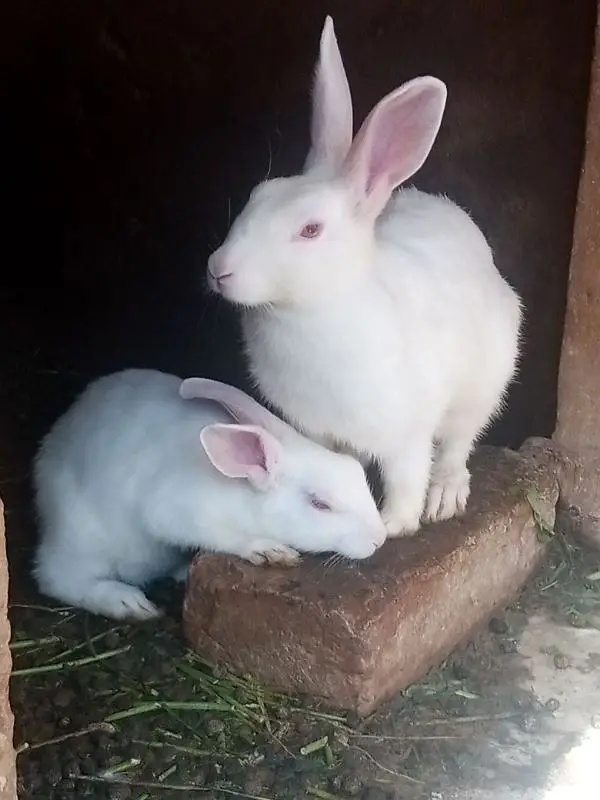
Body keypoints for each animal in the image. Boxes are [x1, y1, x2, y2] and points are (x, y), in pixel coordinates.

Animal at [32, 368, 386, 620]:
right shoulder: (175, 509)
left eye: (357, 472)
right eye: (320, 504)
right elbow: (222, 535)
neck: (239, 489)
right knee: (58, 578)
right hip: (82, 538)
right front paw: (270, 551)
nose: (380, 539)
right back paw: (129, 604)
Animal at [206, 16, 523, 538]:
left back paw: (445, 497)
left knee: (459, 442)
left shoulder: (407, 431)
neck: (313, 311)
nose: (218, 269)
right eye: (256, 194)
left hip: (484, 382)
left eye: (310, 229)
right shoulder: (315, 429)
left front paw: (395, 525)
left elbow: (407, 475)